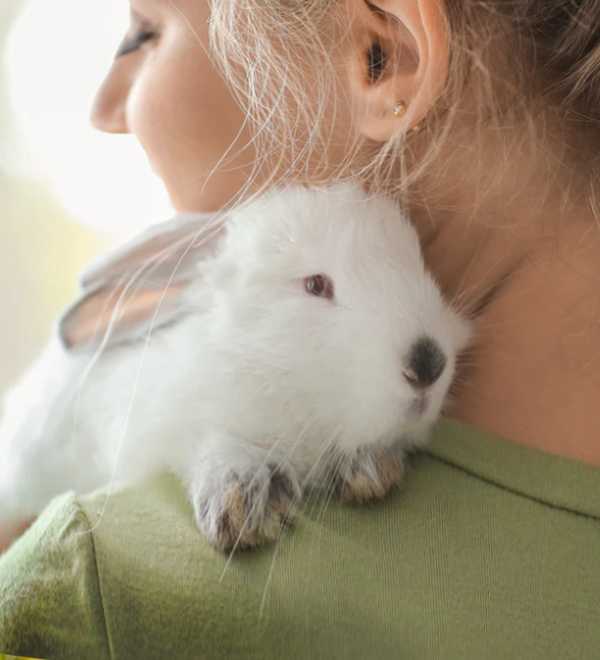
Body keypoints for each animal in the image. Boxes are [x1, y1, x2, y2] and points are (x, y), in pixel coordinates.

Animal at [0, 182, 471, 552]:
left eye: (421, 267)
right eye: (315, 285)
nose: (428, 363)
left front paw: (371, 470)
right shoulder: (156, 421)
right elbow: (211, 445)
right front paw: (245, 503)